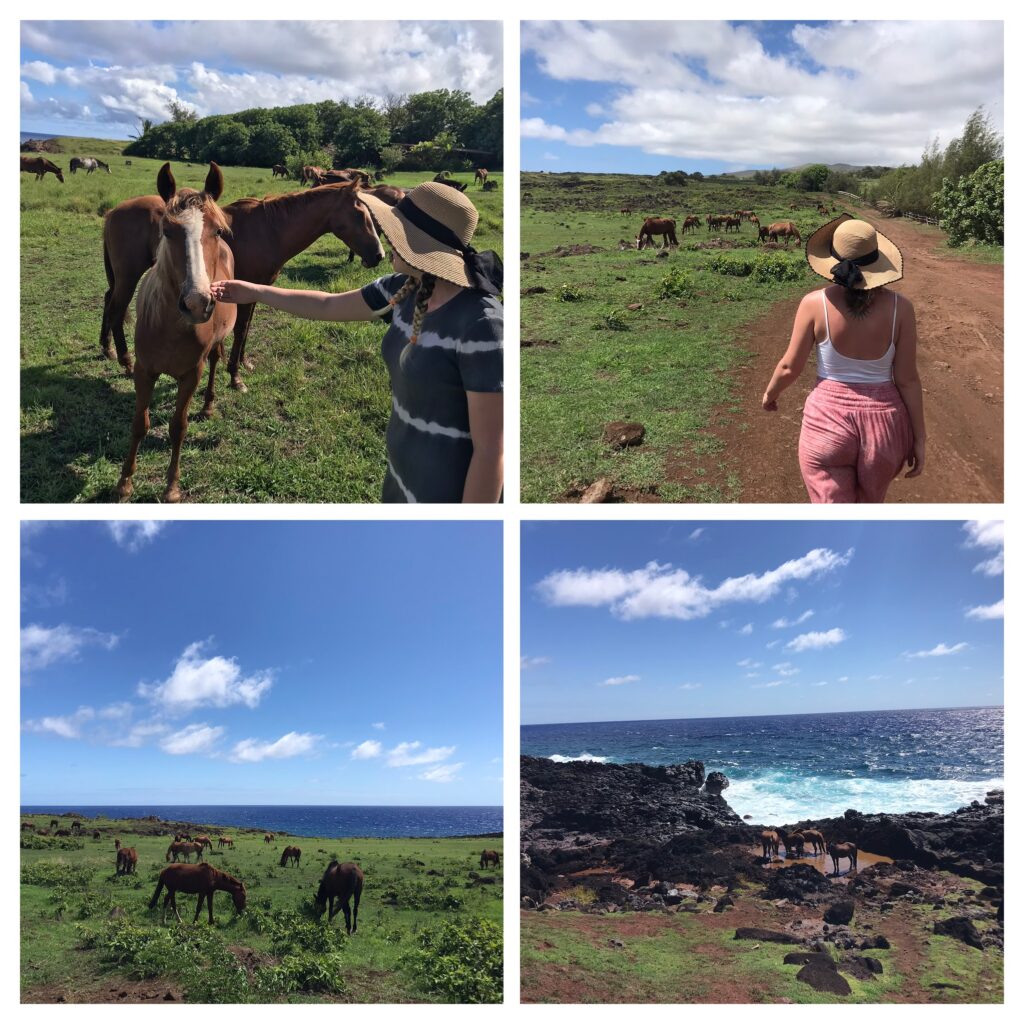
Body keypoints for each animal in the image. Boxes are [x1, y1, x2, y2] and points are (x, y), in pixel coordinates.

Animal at [100, 178, 385, 389]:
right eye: (359, 213)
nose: (378, 255)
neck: (269, 229)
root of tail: (114, 211)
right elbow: (240, 329)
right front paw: (235, 376)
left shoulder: (254, 291)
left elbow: (245, 329)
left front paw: (242, 363)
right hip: (128, 277)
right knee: (116, 310)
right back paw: (125, 361)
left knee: (108, 300)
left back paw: (107, 348)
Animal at [116, 160, 235, 507]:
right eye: (167, 231)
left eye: (218, 230)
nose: (197, 303)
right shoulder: (144, 370)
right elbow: (139, 424)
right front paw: (124, 482)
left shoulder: (190, 374)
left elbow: (178, 427)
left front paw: (171, 487)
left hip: (214, 350)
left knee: (215, 361)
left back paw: (208, 405)